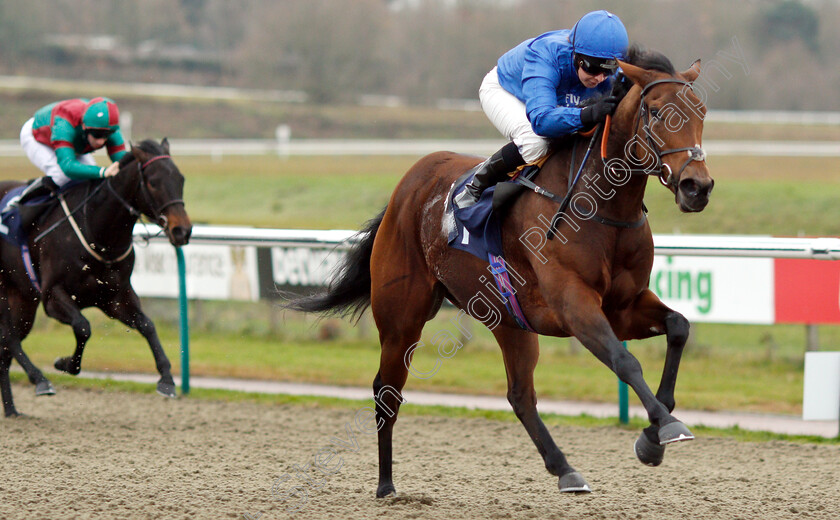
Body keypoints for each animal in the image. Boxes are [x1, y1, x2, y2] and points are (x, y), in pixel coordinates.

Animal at [0, 137, 192, 414]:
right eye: (153, 182)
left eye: (180, 179)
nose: (182, 231)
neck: (97, 230)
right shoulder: (52, 296)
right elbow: (83, 327)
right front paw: (64, 363)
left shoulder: (115, 297)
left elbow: (147, 325)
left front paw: (166, 380)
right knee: (10, 338)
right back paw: (40, 379)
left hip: (22, 298)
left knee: (6, 348)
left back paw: (12, 410)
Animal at [286, 48, 712, 496]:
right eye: (657, 111)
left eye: (700, 111)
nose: (697, 187)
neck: (603, 208)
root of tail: (409, 184)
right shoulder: (574, 305)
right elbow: (624, 360)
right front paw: (666, 427)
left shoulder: (623, 307)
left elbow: (678, 327)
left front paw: (652, 438)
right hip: (402, 319)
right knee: (387, 391)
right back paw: (386, 485)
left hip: (510, 320)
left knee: (520, 395)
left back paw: (565, 469)